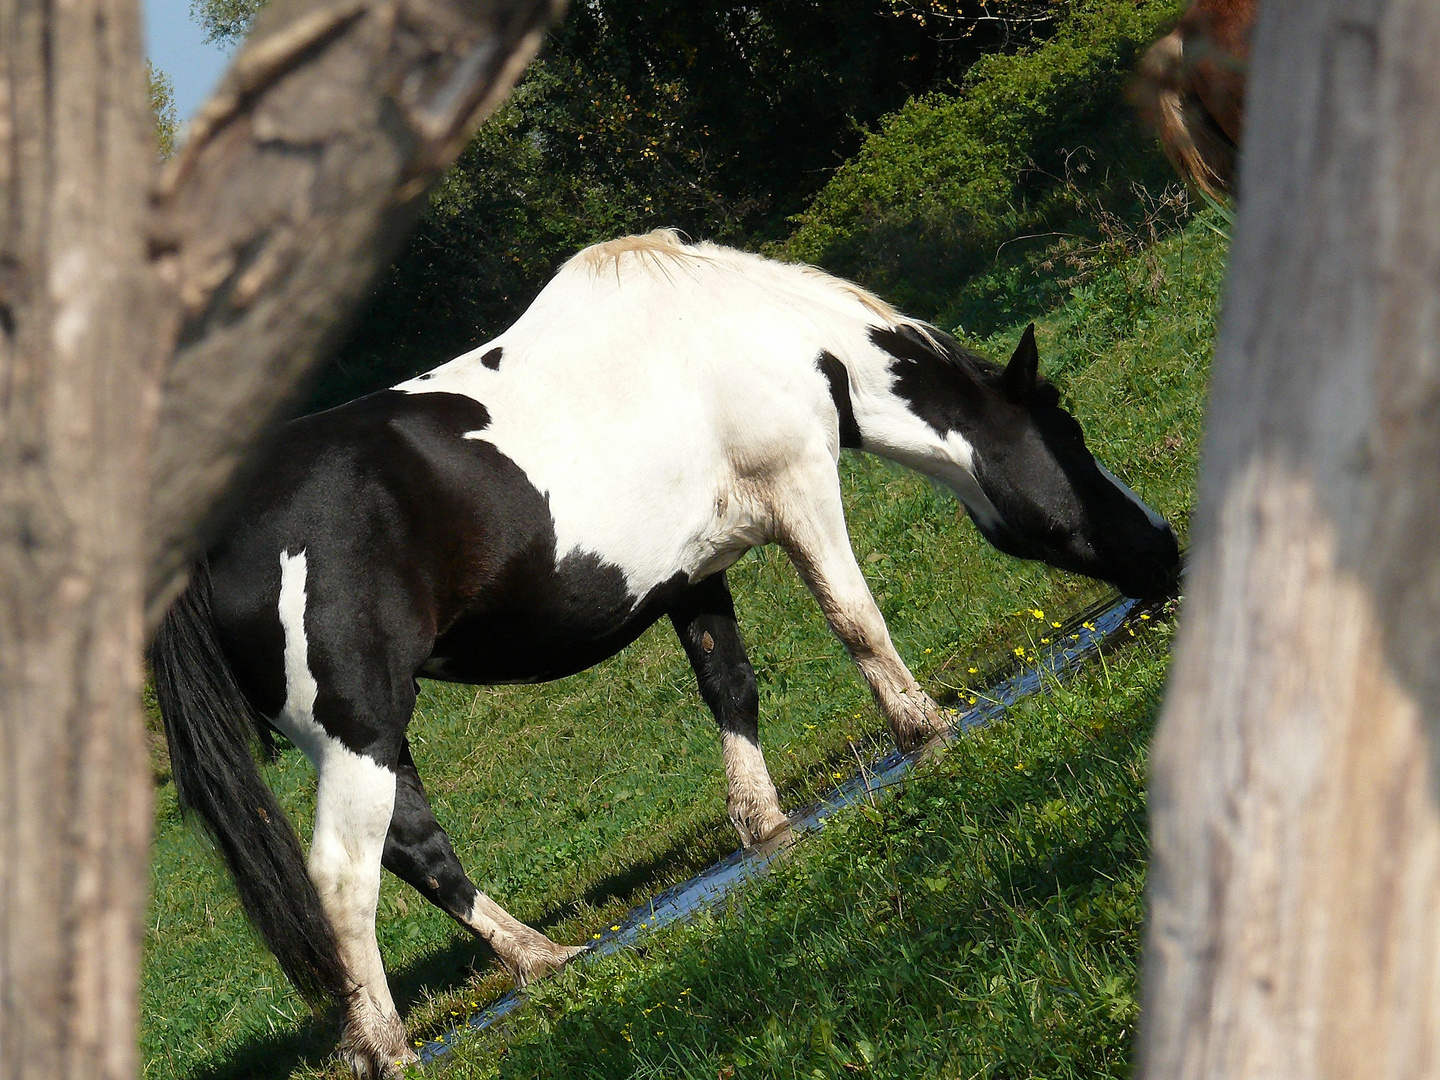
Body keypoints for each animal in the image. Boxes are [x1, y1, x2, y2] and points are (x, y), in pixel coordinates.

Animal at [149, 230, 1180, 1080]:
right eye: (1065, 428)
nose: (1167, 551)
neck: (753, 335)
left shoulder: (694, 574)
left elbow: (732, 688)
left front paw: (764, 824)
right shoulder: (801, 492)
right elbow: (857, 623)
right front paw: (925, 729)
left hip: (365, 734)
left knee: (416, 848)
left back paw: (543, 959)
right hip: (357, 723)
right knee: (345, 873)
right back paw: (386, 1044)